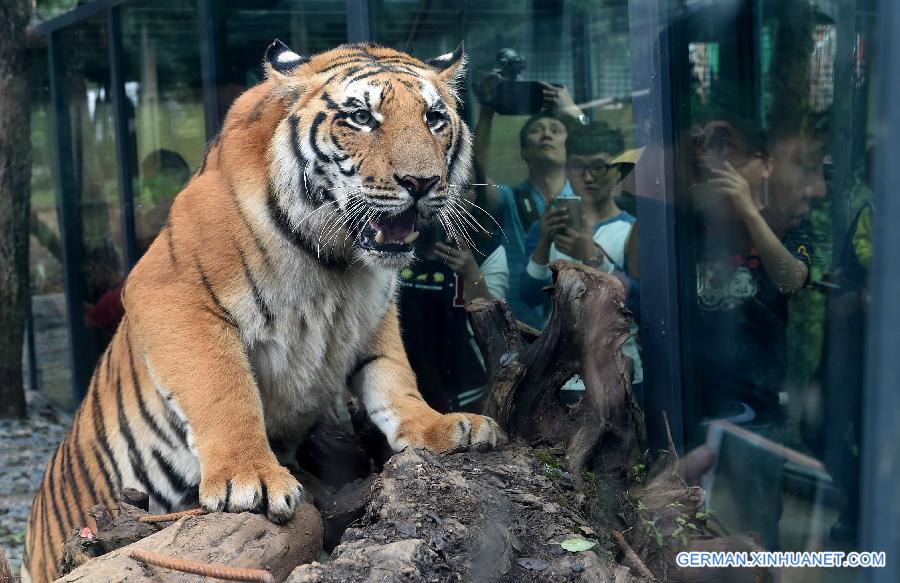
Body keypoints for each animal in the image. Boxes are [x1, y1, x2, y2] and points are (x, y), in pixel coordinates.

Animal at [22, 41, 500, 583]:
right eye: (361, 117)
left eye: (434, 118)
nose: (421, 183)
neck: (337, 264)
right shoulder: (168, 291)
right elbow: (224, 387)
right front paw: (249, 477)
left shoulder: (373, 312)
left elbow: (394, 378)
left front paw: (441, 427)